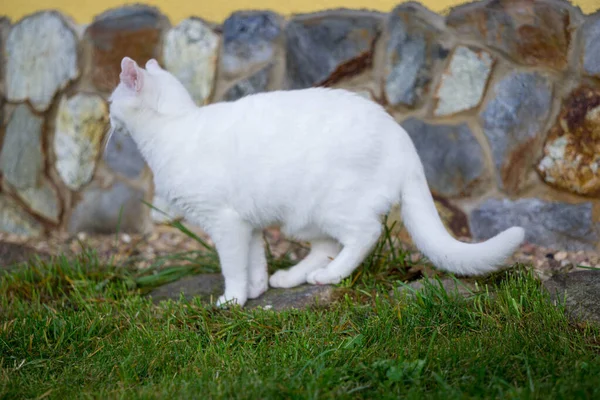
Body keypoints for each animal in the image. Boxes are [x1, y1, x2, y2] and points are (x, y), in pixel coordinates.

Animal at [108, 56, 524, 306]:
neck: (174, 128)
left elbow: (233, 266)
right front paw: (257, 288)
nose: (108, 114)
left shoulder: (225, 223)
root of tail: (401, 136)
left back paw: (331, 275)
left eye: (112, 102)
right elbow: (254, 259)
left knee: (364, 235)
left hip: (328, 205)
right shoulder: (247, 224)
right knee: (326, 245)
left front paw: (233, 299)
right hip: (302, 216)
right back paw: (293, 278)